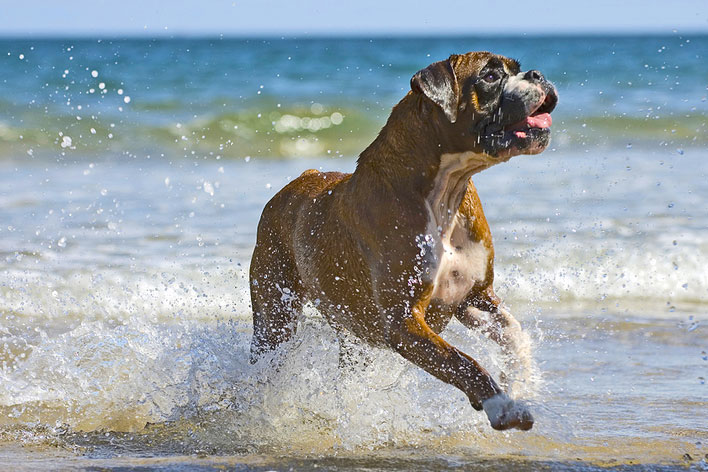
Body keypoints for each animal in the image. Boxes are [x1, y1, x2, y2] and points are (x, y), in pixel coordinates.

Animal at [250, 51, 560, 432]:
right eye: (490, 76)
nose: (538, 74)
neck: (446, 191)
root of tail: (295, 183)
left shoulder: (475, 299)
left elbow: (514, 335)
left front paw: (520, 382)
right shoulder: (405, 323)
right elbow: (462, 362)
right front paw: (501, 405)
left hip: (353, 339)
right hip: (274, 319)